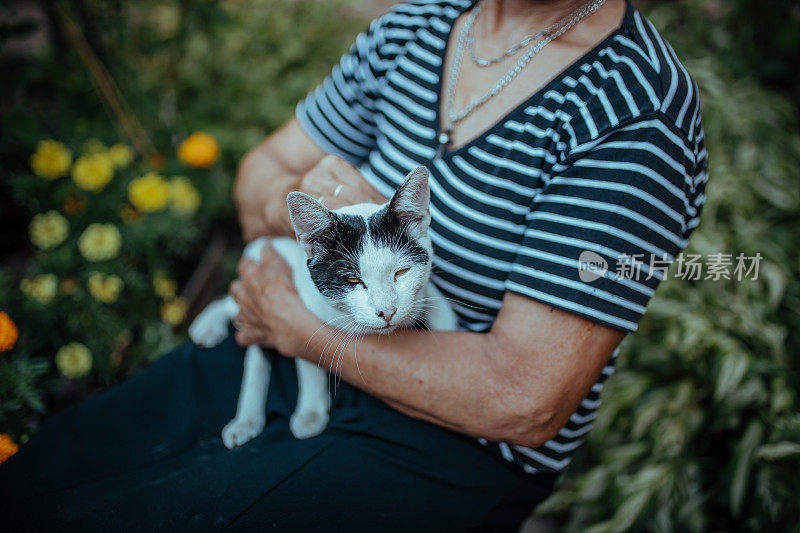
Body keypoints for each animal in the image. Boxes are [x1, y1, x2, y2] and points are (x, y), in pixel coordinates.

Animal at [188, 164, 460, 446]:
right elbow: (308, 360)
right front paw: (310, 412)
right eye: (353, 280)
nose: (387, 312)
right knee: (240, 320)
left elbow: (443, 314)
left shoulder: (426, 293)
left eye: (402, 272)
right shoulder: (296, 310)